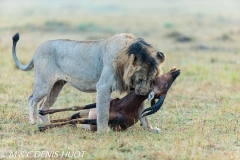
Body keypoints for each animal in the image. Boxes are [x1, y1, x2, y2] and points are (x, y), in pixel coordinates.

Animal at [11, 33, 165, 132]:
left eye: (152, 80)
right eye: (140, 79)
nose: (145, 93)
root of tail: (36, 50)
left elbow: (142, 111)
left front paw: (150, 128)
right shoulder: (103, 86)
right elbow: (103, 112)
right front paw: (103, 131)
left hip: (57, 85)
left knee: (45, 105)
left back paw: (46, 124)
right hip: (44, 84)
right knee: (32, 99)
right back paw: (34, 121)